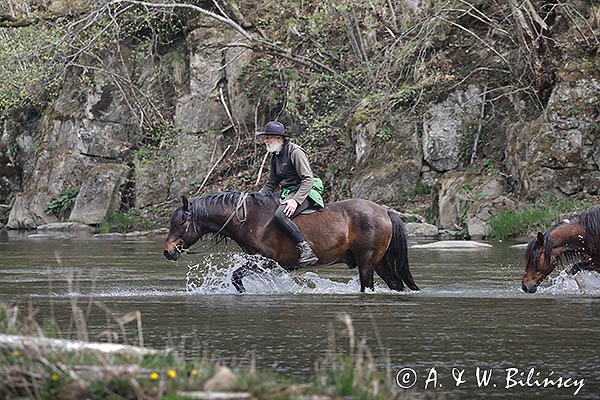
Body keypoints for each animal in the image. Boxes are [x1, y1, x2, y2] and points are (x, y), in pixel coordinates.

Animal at [162, 192, 420, 292]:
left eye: (182, 223)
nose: (167, 251)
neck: (250, 219)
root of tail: (385, 211)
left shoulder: (267, 263)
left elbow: (236, 276)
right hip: (380, 262)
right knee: (395, 284)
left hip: (367, 262)